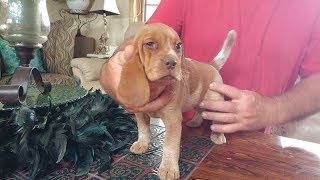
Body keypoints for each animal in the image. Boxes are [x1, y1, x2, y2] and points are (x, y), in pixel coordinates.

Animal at [115, 23, 235, 179]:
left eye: (178, 46)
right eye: (150, 44)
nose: (173, 62)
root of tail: (211, 65)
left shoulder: (173, 120)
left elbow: (170, 145)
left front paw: (168, 168)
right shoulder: (140, 113)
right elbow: (143, 129)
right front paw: (142, 143)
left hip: (215, 102)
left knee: (218, 120)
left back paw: (218, 136)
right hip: (198, 99)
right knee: (199, 109)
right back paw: (195, 122)